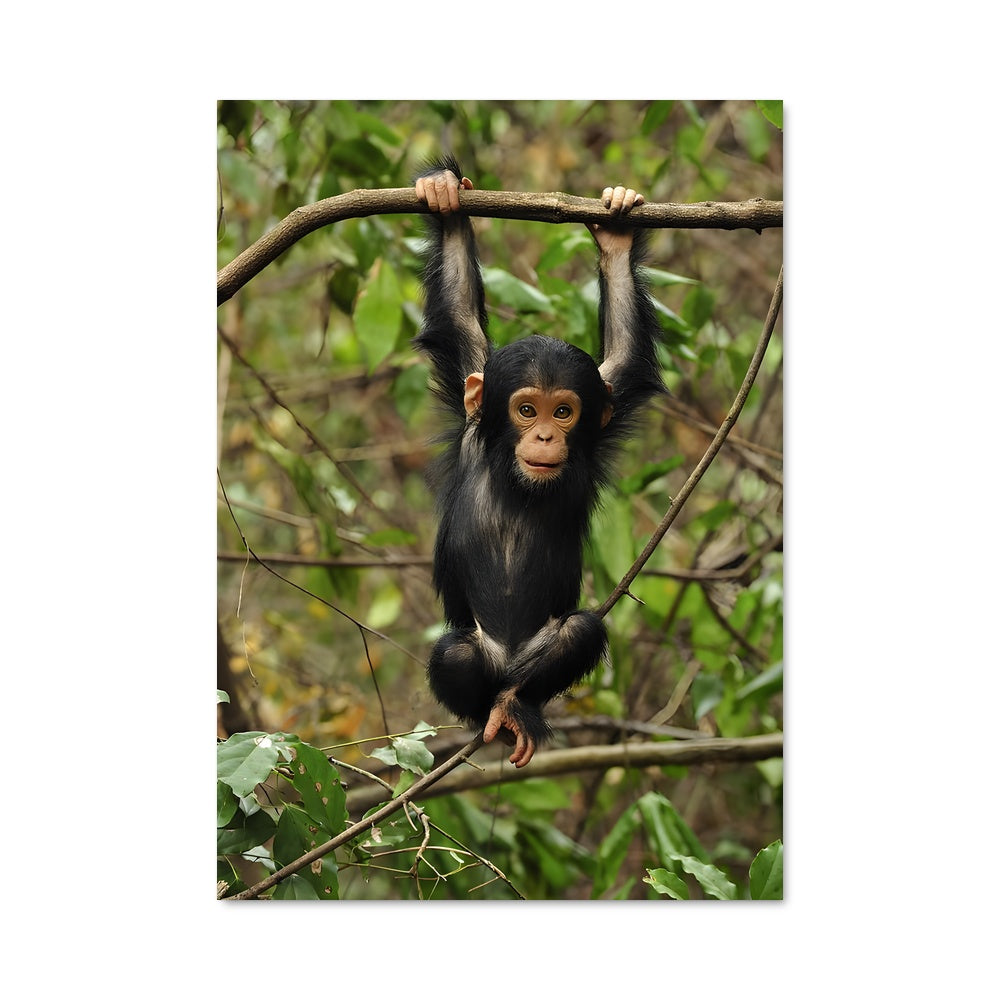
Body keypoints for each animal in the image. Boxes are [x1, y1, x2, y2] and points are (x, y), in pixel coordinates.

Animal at [413, 157, 664, 766]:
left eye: (564, 411)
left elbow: (625, 353)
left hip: (537, 660)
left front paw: (617, 235)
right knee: (456, 655)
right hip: (478, 657)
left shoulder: (602, 409)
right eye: (526, 409)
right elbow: (458, 315)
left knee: (578, 635)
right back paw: (493, 716)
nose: (547, 434)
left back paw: (515, 707)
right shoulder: (472, 394)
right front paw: (445, 199)